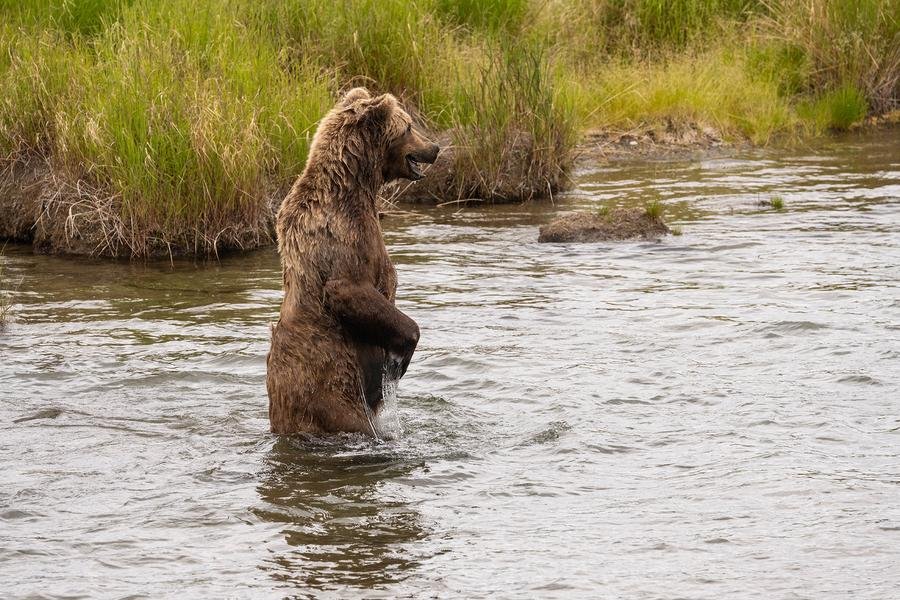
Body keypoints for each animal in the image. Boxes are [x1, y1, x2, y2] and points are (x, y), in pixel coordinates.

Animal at [266, 87, 440, 437]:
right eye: (409, 126)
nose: (435, 148)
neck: (355, 186)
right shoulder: (347, 233)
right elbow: (349, 288)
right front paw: (397, 362)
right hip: (332, 397)